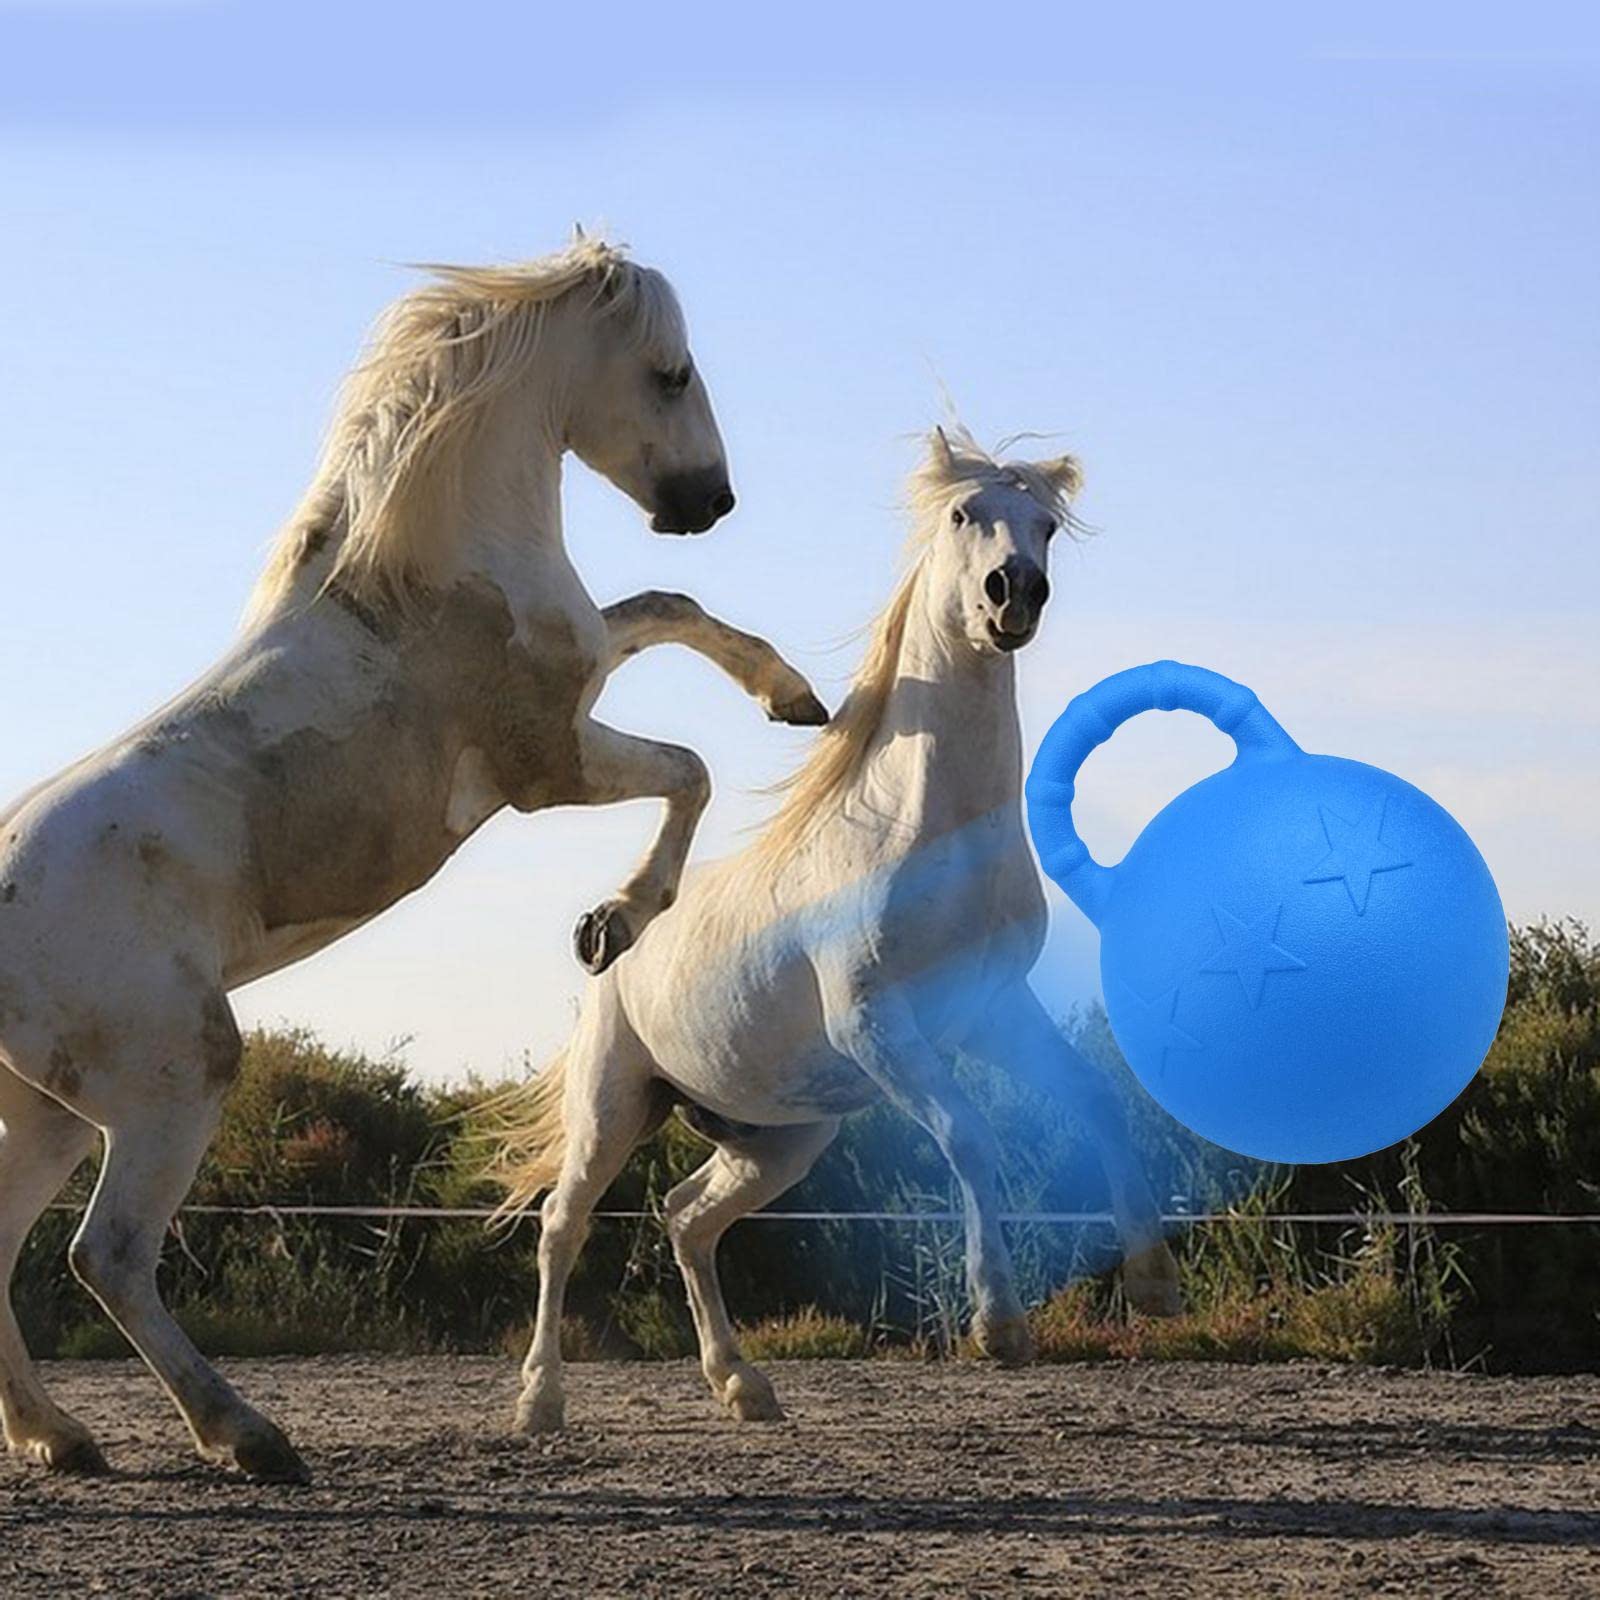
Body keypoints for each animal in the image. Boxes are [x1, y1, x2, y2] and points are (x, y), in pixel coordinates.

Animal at [0, 237, 828, 1483]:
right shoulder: (547, 765)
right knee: (110, 1255)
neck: (426, 575)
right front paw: (614, 922)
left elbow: (668, 609)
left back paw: (62, 1436)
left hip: (46, 1109)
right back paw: (248, 1437)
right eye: (671, 373)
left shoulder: (582, 676)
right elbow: (686, 768)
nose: (707, 501)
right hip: (167, 1078)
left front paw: (795, 698)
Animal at [493, 427, 1182, 1435]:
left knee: (687, 1217)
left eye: (1047, 527)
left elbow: (1096, 1100)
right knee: (562, 1227)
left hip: (779, 1136)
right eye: (963, 514)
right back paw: (540, 1400)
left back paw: (744, 1386)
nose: (1013, 595)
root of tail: (612, 947)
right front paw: (1000, 1326)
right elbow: (971, 1137)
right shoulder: (876, 1025)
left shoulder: (992, 1013)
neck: (923, 834)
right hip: (613, 1101)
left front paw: (1153, 1283)